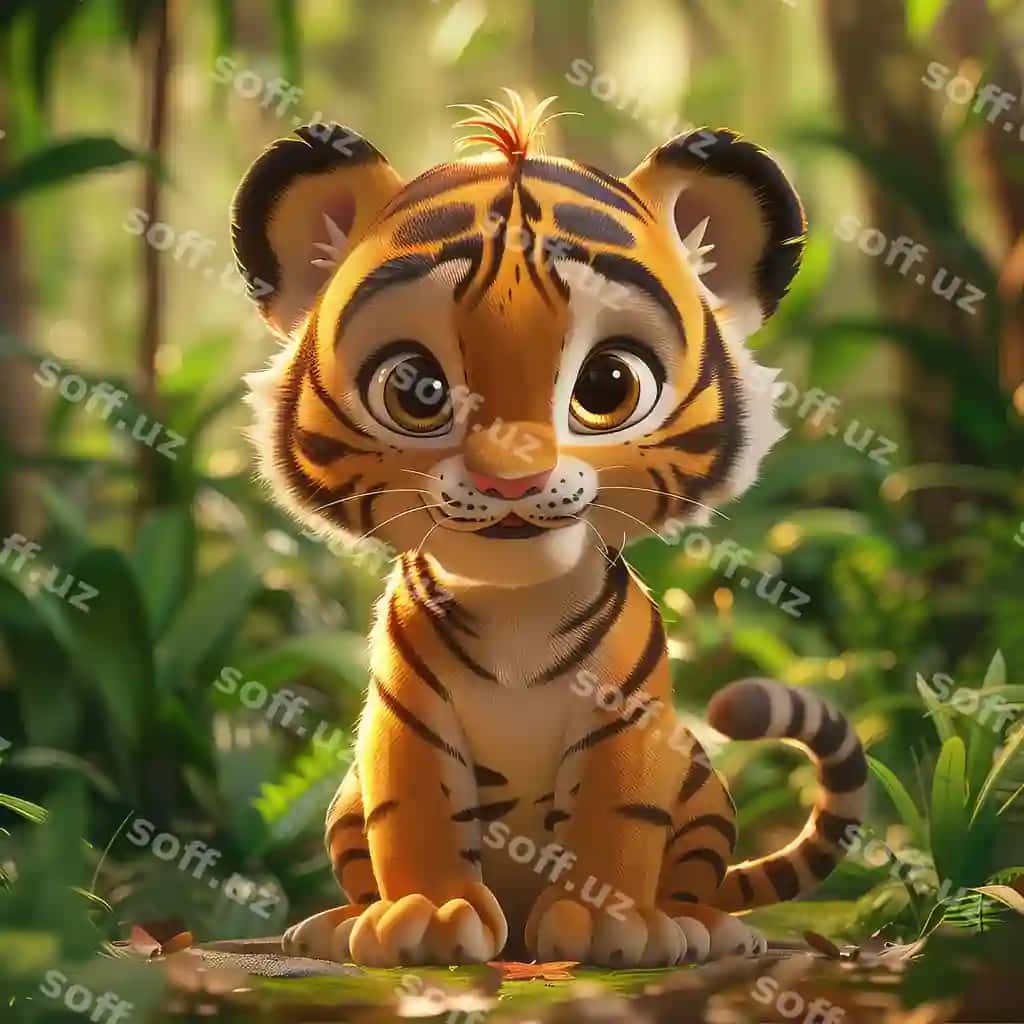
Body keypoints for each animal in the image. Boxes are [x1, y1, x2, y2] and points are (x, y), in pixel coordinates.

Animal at [231, 90, 866, 967]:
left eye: (608, 384)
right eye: (415, 388)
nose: (511, 478)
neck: (514, 606)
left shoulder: (626, 722)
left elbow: (618, 819)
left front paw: (610, 925)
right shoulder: (406, 722)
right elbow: (414, 814)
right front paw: (429, 916)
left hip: (702, 787)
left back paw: (699, 925)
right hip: (343, 801)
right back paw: (334, 924)